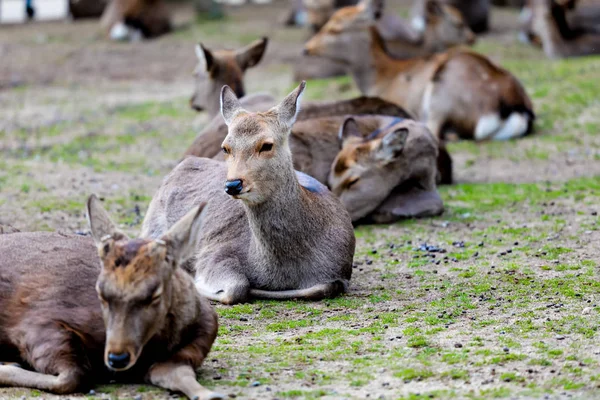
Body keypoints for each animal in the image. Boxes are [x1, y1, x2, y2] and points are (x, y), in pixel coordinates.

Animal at [0, 197, 223, 400]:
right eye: (100, 292)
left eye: (155, 293)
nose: (117, 357)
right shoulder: (35, 322)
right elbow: (73, 376)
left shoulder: (190, 349)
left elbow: (179, 375)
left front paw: (212, 394)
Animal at [141, 83, 356, 304]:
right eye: (225, 147)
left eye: (267, 145)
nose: (233, 184)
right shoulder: (215, 253)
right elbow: (237, 288)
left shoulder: (339, 271)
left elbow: (324, 287)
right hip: (152, 226)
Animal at [304, 0, 536, 142]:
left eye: (335, 27)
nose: (307, 47)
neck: (380, 78)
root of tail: (517, 105)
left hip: (441, 92)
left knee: (434, 129)